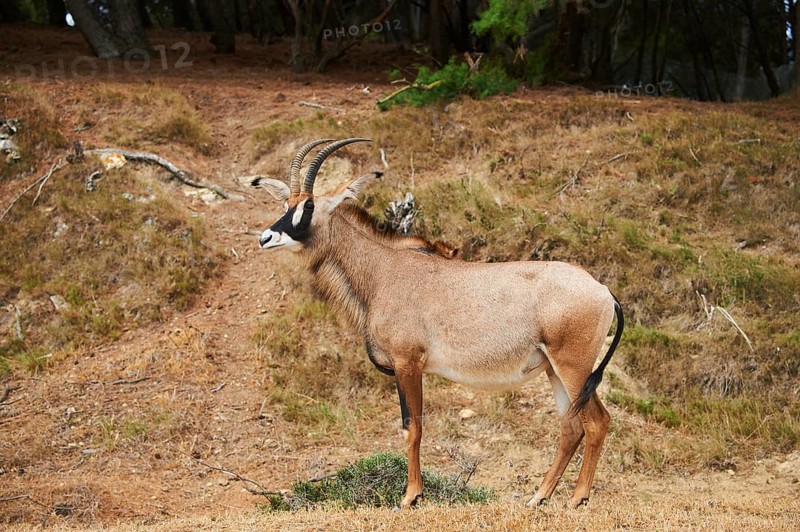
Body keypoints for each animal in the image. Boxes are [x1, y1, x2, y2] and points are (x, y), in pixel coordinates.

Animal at [254, 138, 624, 509]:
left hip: (573, 368)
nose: (266, 238)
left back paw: (577, 499)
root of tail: (604, 292)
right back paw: (538, 497)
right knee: (572, 427)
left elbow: (412, 427)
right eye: (286, 204)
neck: (383, 270)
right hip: (554, 371)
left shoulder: (408, 363)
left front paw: (411, 496)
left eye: (309, 205)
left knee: (596, 422)